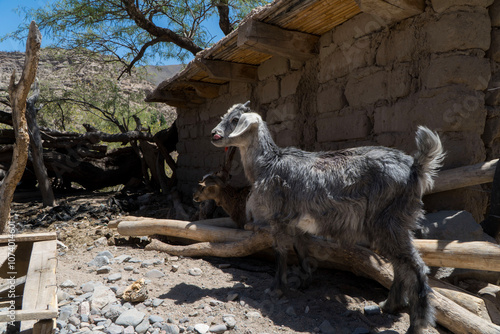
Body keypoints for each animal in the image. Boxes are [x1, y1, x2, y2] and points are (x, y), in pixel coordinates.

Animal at [209, 102, 444, 334]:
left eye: (235, 120)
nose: (213, 134)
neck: (269, 164)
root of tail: (416, 168)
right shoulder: (296, 222)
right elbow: (301, 249)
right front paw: (305, 280)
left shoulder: (278, 217)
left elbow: (281, 252)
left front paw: (276, 289)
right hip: (395, 223)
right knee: (400, 264)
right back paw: (390, 305)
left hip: (389, 220)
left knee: (415, 267)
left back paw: (416, 324)